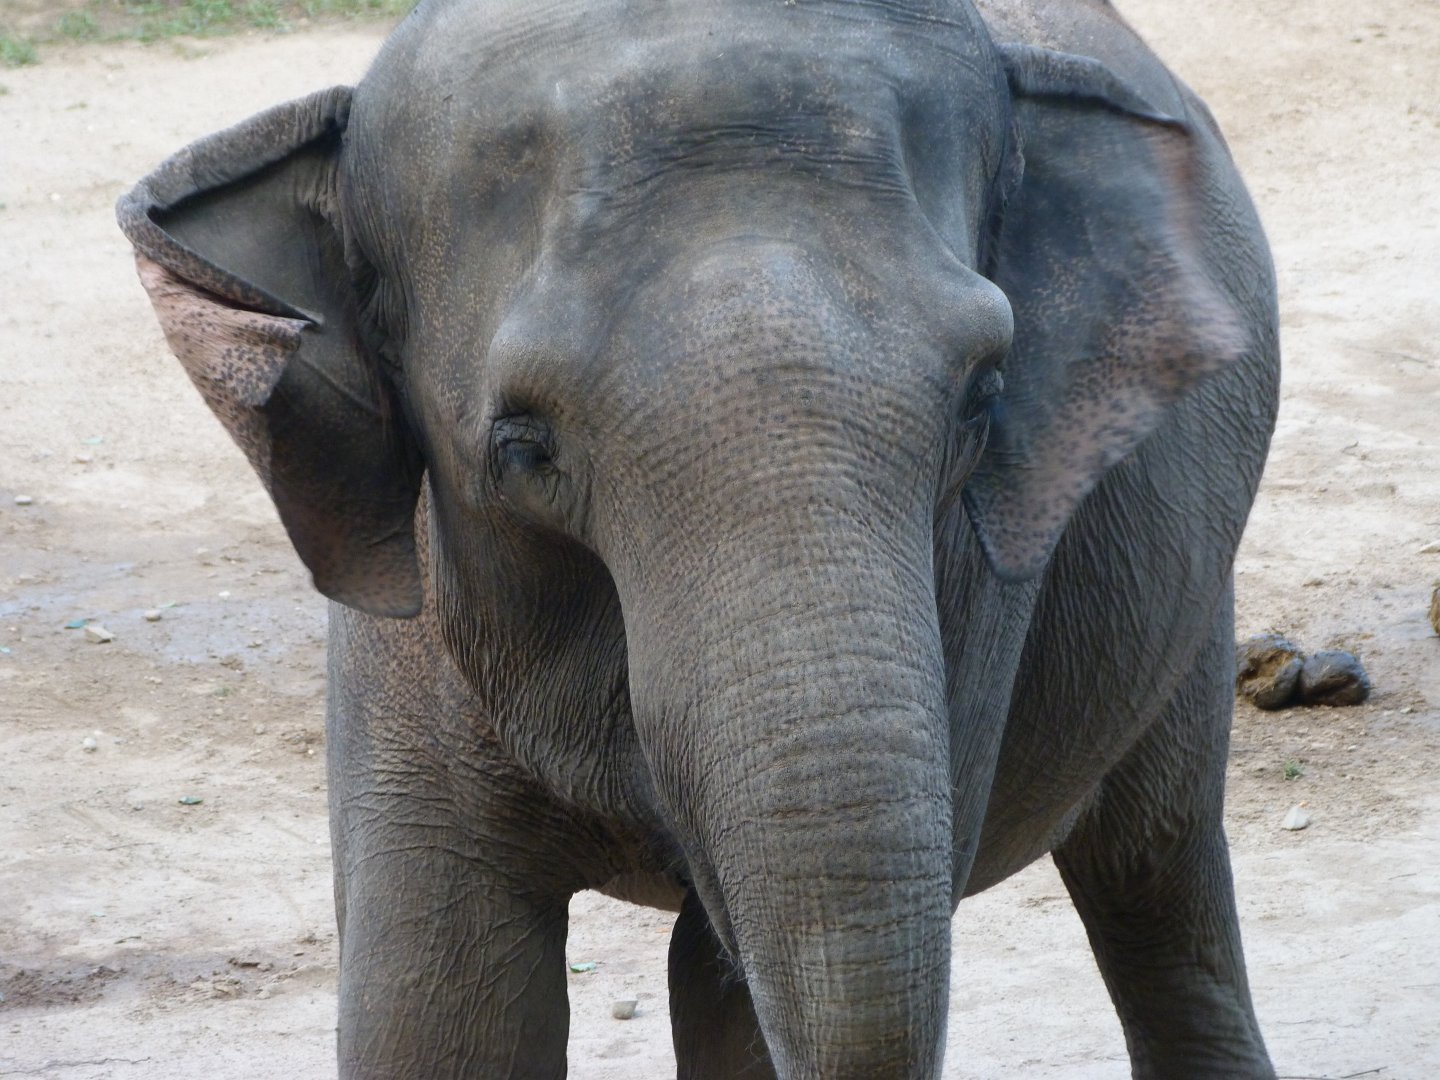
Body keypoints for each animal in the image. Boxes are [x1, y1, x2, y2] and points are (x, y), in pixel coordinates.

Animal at [117, 0, 1280, 1075]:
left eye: (983, 400)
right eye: (523, 446)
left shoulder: (978, 587)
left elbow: (732, 1001)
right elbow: (443, 999)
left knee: (1156, 871)